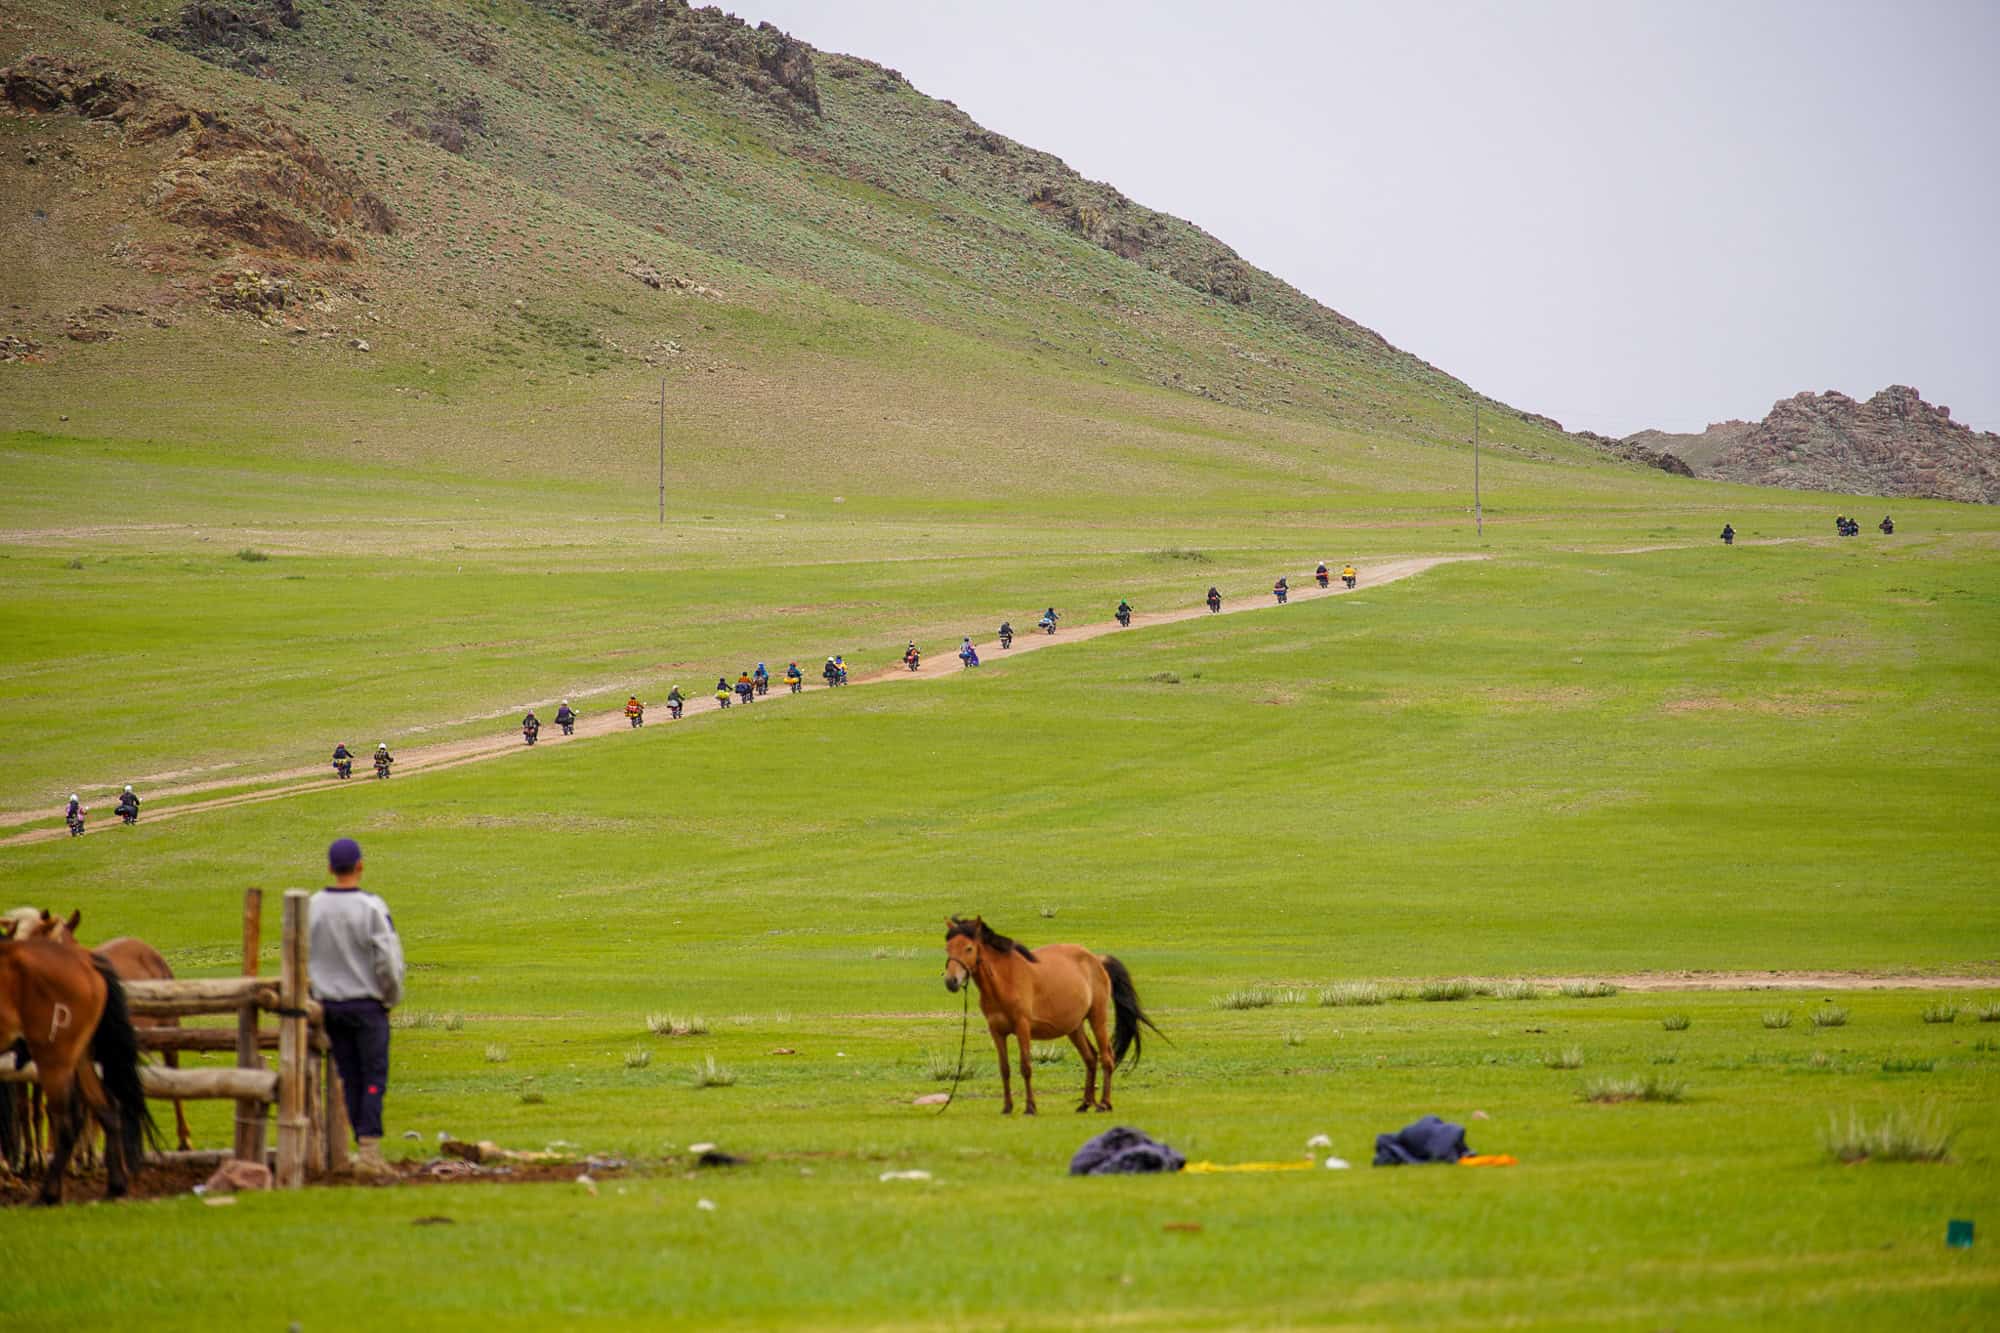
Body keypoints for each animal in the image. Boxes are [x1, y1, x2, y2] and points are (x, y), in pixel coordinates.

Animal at [0, 928, 154, 1200]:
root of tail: (89, 964)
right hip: (76, 1057)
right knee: (103, 1108)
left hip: (56, 1056)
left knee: (68, 1121)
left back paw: (49, 1192)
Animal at [944, 912, 1168, 1112]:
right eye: (948, 948)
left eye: (969, 948)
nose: (951, 981)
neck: (1004, 981)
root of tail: (1097, 960)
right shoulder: (996, 1032)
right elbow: (1004, 1069)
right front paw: (1007, 1107)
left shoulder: (1022, 1027)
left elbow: (1026, 1067)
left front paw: (1030, 1107)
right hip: (1074, 1027)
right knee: (1090, 1057)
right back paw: (1086, 1104)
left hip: (1097, 1018)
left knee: (1106, 1057)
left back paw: (1104, 1104)